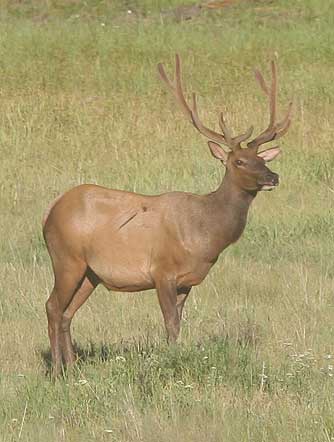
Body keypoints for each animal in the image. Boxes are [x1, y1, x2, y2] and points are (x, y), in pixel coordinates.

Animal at [43, 53, 290, 374]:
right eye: (238, 161)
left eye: (262, 159)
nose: (273, 177)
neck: (206, 234)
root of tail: (49, 213)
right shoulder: (162, 271)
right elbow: (170, 324)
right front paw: (173, 363)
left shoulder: (187, 281)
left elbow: (178, 325)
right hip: (66, 258)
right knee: (52, 306)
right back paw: (56, 371)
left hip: (90, 273)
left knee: (67, 312)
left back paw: (72, 368)